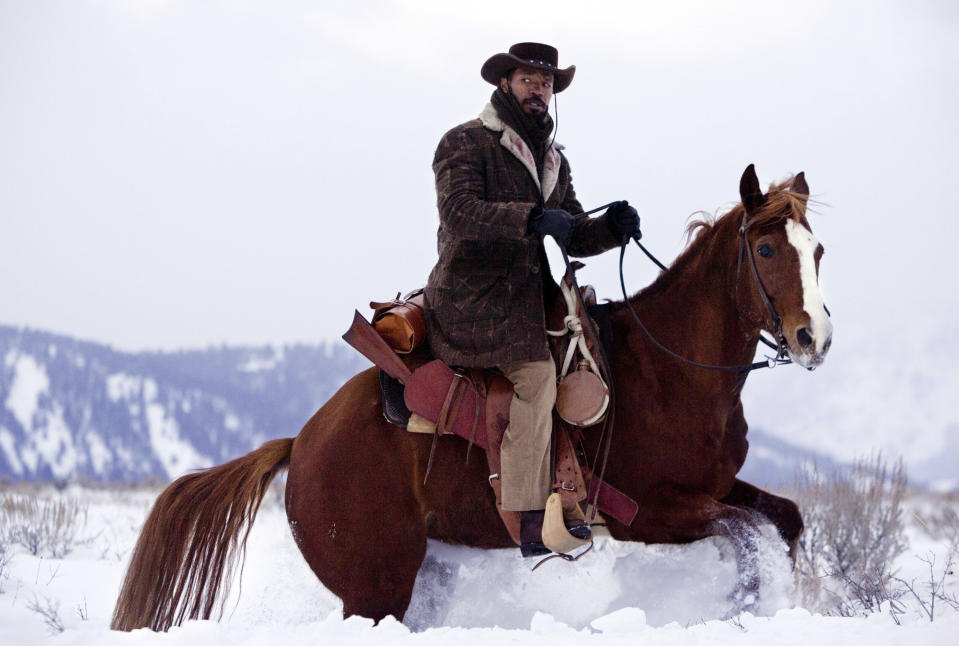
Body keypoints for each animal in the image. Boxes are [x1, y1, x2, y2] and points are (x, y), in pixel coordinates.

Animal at [110, 166, 832, 632]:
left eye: (817, 248)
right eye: (766, 247)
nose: (812, 338)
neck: (669, 369)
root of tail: (302, 443)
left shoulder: (715, 485)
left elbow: (785, 520)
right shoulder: (647, 512)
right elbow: (745, 536)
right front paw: (744, 609)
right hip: (374, 587)